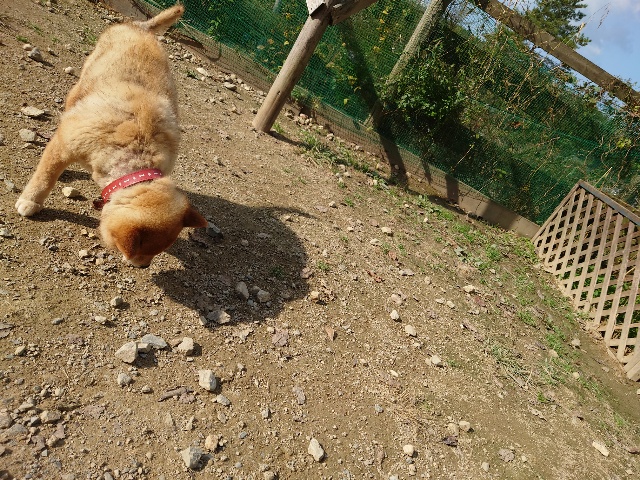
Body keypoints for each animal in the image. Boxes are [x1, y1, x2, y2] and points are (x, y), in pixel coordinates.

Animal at [15, 4, 207, 267]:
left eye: (157, 252)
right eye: (138, 253)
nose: (144, 266)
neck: (136, 155)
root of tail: (140, 27)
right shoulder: (64, 146)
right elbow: (45, 177)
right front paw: (31, 201)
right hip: (79, 89)